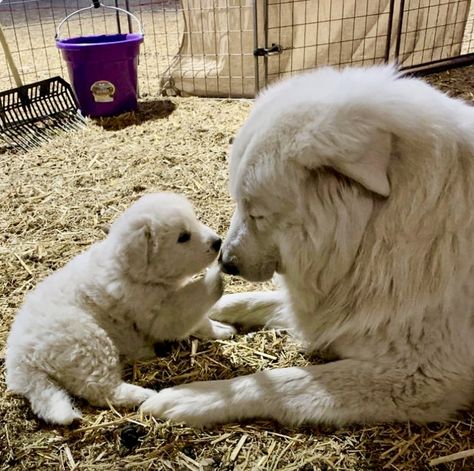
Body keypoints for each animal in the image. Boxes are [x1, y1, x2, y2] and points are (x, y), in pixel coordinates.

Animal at [6, 192, 236, 424]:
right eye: (183, 237)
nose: (218, 242)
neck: (133, 272)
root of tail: (20, 362)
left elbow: (202, 321)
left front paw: (222, 329)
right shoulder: (160, 315)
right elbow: (190, 303)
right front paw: (215, 276)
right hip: (89, 343)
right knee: (102, 390)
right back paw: (143, 394)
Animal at [141, 65, 474, 428]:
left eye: (257, 213)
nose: (225, 262)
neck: (387, 230)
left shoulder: (421, 375)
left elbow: (284, 381)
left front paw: (197, 396)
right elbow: (255, 301)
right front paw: (201, 307)